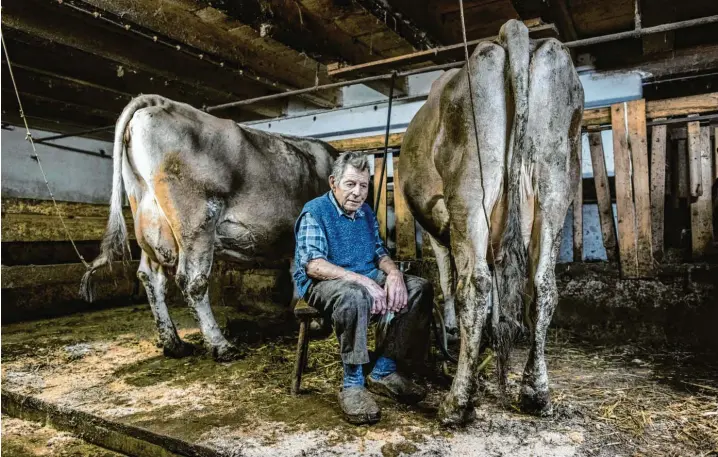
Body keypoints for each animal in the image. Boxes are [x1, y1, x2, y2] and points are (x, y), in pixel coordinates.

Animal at [80, 95, 338, 360]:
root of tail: (161, 102)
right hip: (197, 222)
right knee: (192, 281)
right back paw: (220, 345)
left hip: (150, 225)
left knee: (151, 278)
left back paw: (175, 344)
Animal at [400, 17, 584, 424]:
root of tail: (513, 33)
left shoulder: (439, 229)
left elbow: (448, 284)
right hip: (554, 189)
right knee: (543, 287)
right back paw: (536, 393)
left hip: (471, 190)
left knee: (474, 285)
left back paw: (457, 402)